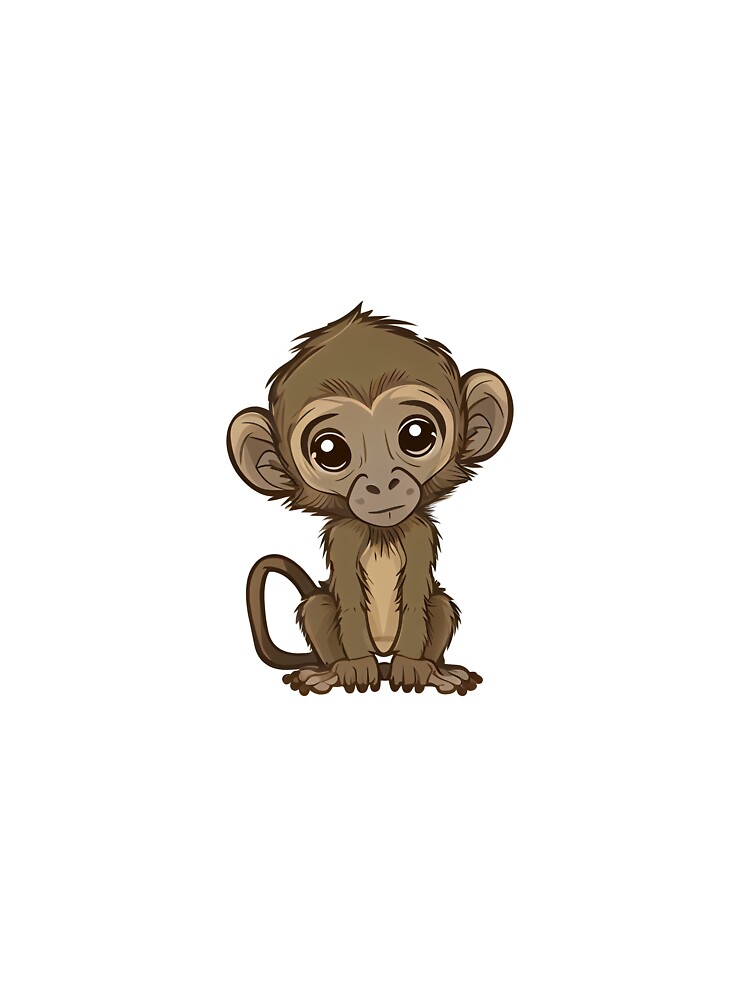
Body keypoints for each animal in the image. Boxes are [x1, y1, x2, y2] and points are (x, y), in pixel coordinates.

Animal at [227, 304, 513, 695]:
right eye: (330, 451)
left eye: (416, 434)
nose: (382, 483)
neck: (381, 533)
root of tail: (384, 653)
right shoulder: (344, 537)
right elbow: (347, 599)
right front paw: (355, 667)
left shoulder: (419, 533)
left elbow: (416, 598)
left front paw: (412, 666)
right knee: (318, 604)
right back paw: (330, 671)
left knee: (439, 603)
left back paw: (433, 670)